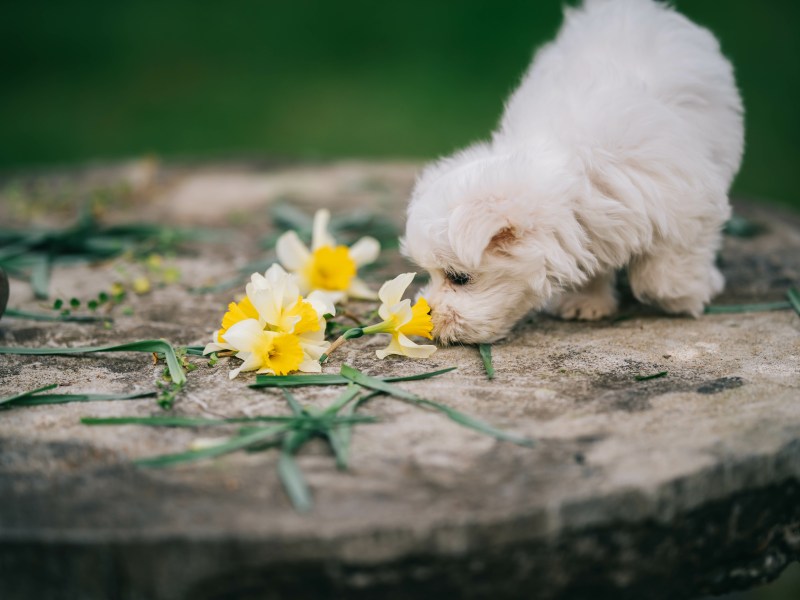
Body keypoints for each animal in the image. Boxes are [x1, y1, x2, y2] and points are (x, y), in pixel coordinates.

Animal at [404, 0, 748, 342]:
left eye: (459, 277)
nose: (428, 315)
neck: (575, 178)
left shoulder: (684, 200)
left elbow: (663, 272)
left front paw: (690, 293)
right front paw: (586, 301)